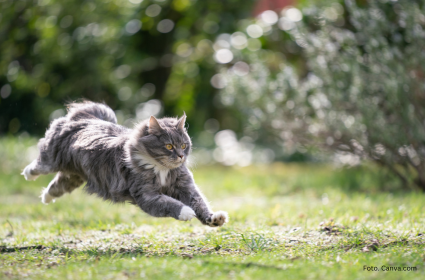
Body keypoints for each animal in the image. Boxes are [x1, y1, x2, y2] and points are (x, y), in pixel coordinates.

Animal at [22, 101, 229, 228]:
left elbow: (200, 204)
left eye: (184, 145)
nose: (180, 156)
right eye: (169, 146)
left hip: (74, 177)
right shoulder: (147, 196)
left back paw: (46, 198)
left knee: (55, 186)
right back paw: (27, 174)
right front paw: (186, 212)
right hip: (51, 160)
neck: (162, 169)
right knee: (38, 165)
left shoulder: (186, 187)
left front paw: (214, 219)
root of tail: (86, 119)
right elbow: (171, 204)